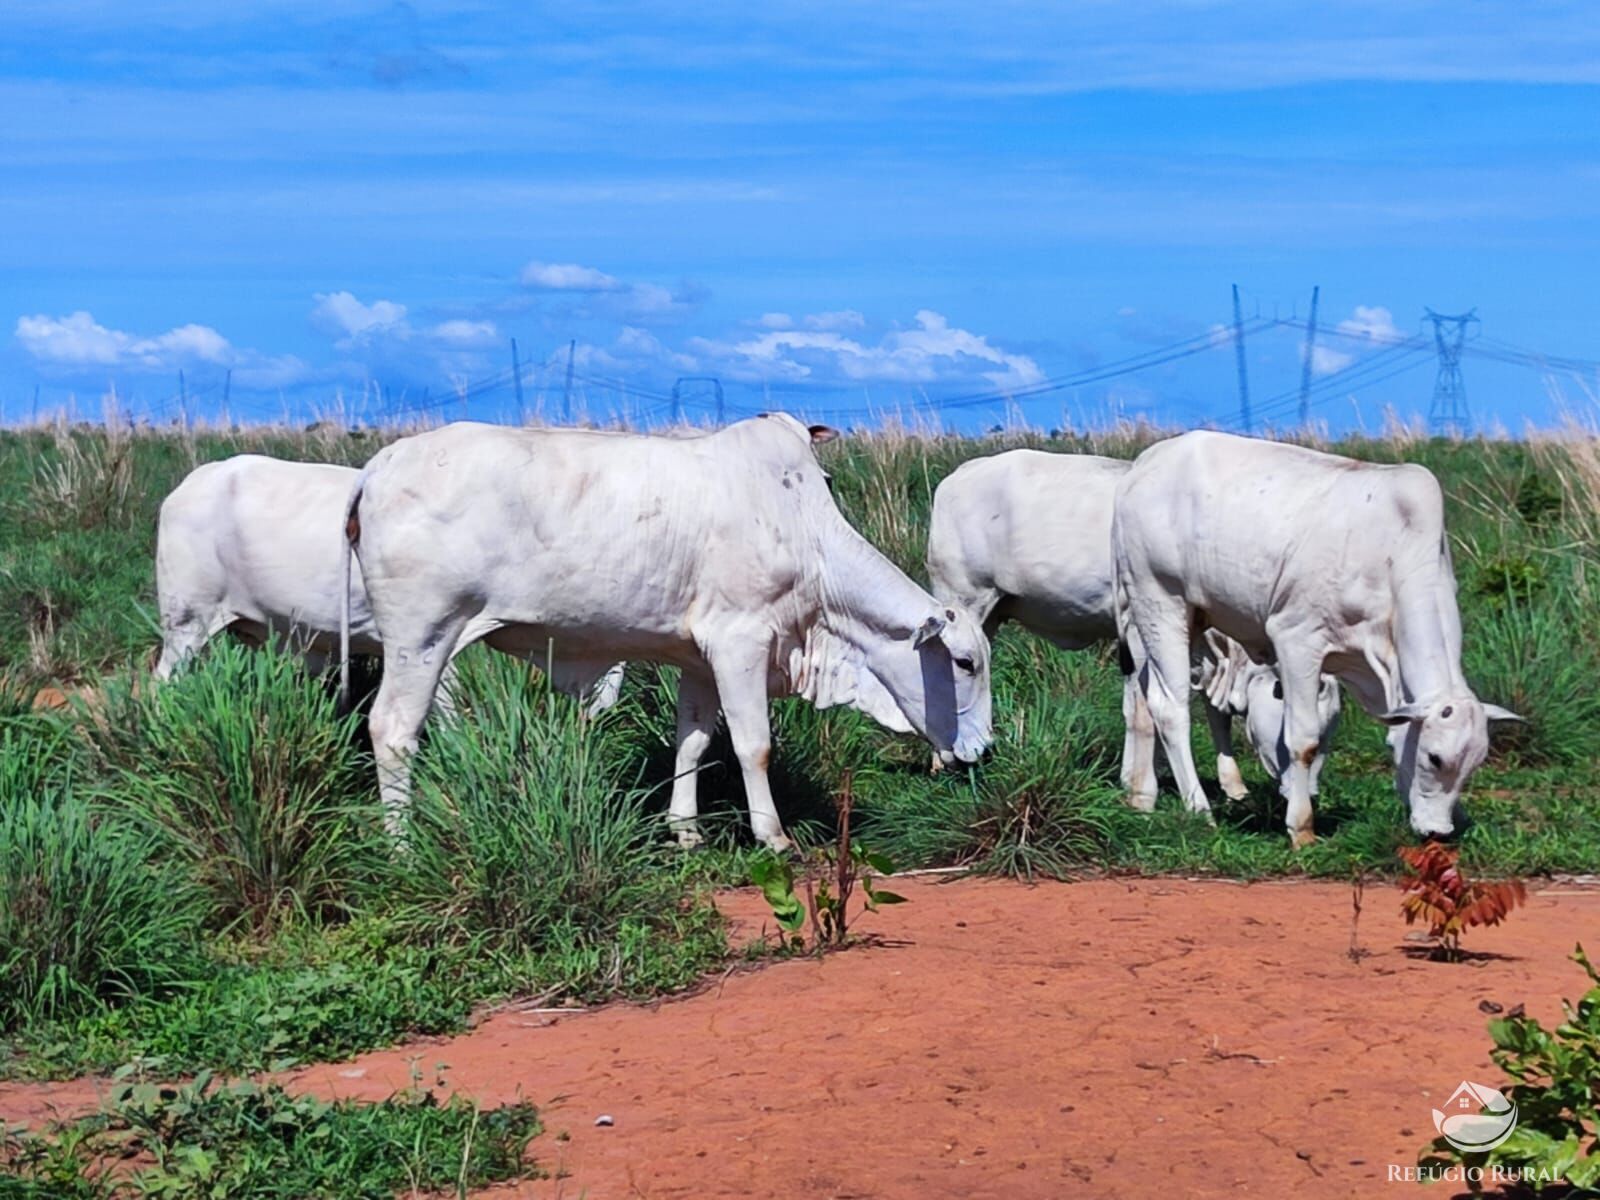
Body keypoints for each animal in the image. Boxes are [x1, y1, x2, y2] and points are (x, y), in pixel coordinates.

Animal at [344, 419, 992, 851]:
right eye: (964, 662)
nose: (982, 750)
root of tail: (377, 467)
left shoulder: (700, 658)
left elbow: (694, 742)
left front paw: (685, 830)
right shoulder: (741, 642)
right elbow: (753, 744)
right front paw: (773, 835)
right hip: (419, 637)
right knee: (393, 731)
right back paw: (400, 844)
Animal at [928, 451, 1337, 809]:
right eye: (1311, 735)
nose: (1312, 795)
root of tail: (963, 471)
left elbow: (1198, 709)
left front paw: (1231, 784)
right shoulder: (1143, 631)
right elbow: (1143, 708)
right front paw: (1142, 791)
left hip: (992, 614)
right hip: (963, 598)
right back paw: (941, 760)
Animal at [1113, 432, 1510, 844]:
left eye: (1475, 763)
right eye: (1434, 757)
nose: (1438, 831)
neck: (1393, 551)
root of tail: (1147, 461)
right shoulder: (1297, 640)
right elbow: (1304, 741)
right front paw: (1301, 828)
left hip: (1171, 621)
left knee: (1142, 699)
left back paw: (1142, 797)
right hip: (1159, 601)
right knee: (1169, 708)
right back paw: (1199, 809)